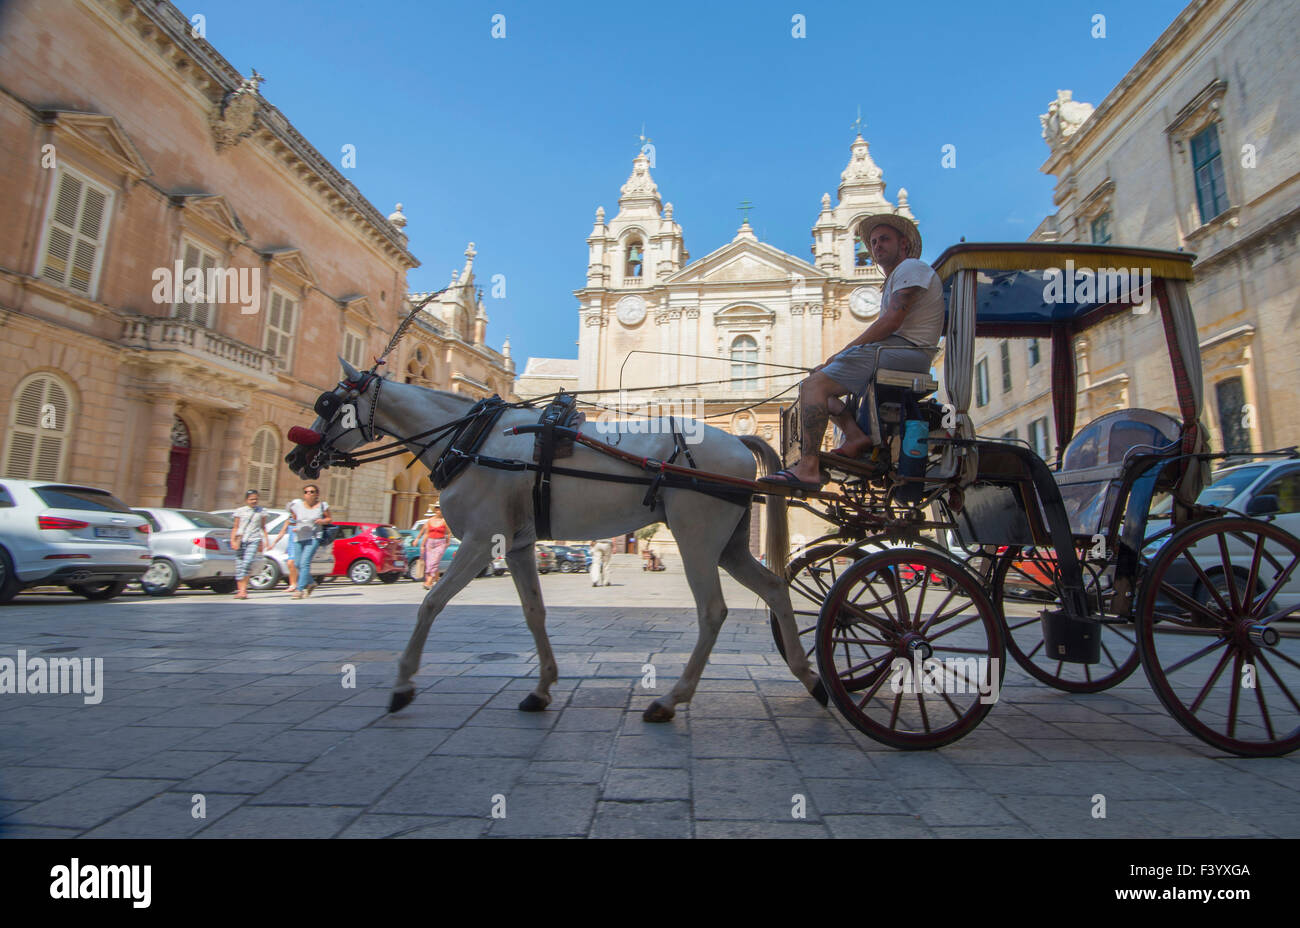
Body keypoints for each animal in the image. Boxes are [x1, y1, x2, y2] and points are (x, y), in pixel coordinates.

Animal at [289, 358, 826, 717]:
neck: (474, 439)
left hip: (696, 541)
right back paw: (809, 677)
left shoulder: (482, 541)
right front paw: (542, 686)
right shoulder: (518, 545)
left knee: (713, 611)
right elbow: (534, 613)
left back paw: (672, 699)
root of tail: (737, 438)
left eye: (328, 403)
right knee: (775, 588)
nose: (297, 458)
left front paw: (403, 683)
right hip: (729, 545)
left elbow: (430, 604)